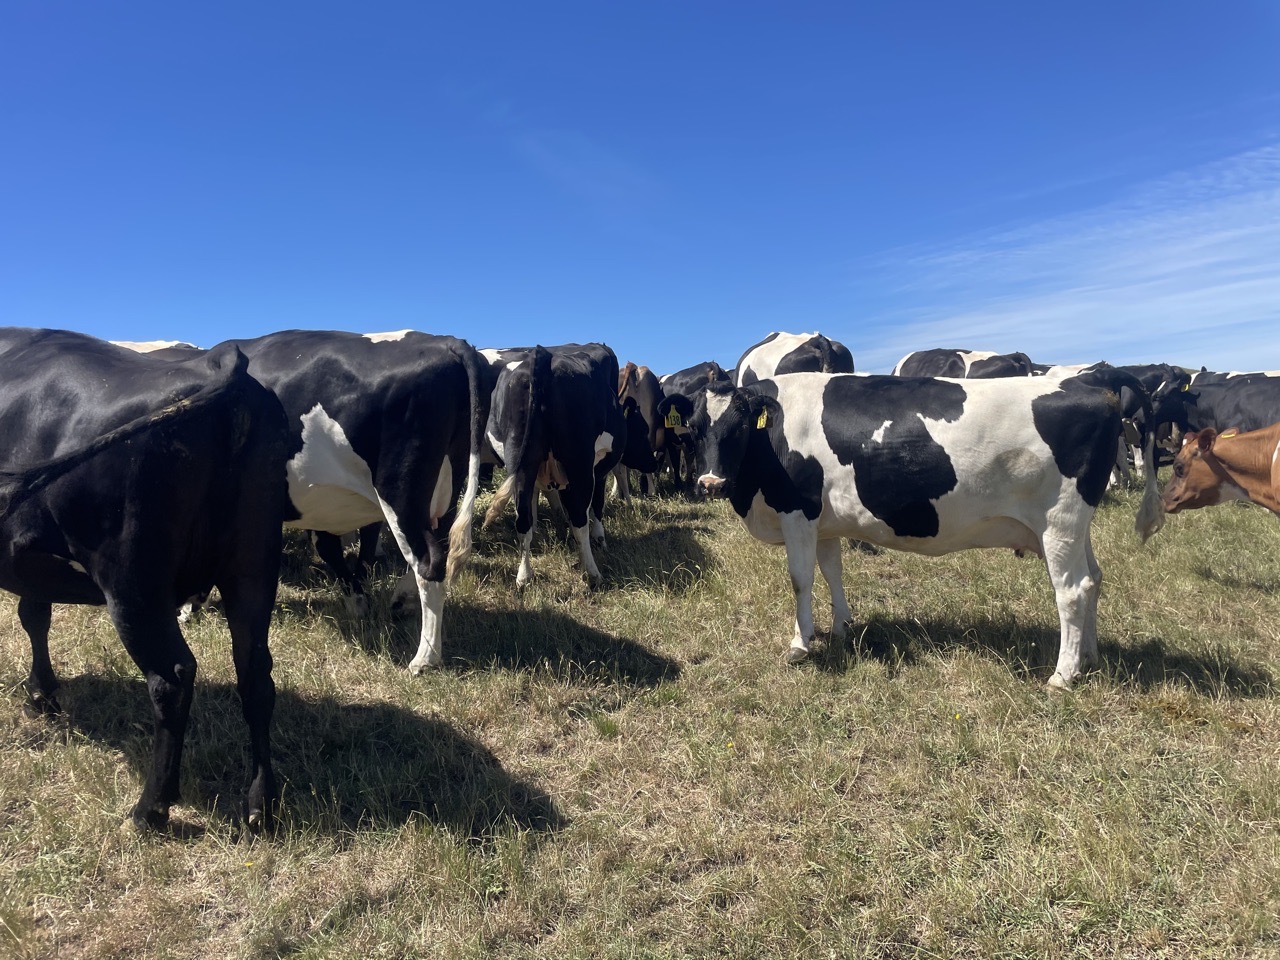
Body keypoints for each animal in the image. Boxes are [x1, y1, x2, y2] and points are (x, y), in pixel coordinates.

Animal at [0, 328, 291, 831]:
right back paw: (260, 803)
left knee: (171, 678)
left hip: (132, 581)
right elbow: (33, 613)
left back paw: (150, 808)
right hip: (253, 564)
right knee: (255, 675)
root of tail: (222, 361)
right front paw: (43, 691)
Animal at [228, 329, 487, 673]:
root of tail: (446, 341)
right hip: (446, 485)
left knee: (428, 562)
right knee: (440, 545)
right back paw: (402, 600)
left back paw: (425, 657)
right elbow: (331, 547)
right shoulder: (319, 507)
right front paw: (358, 602)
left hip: (400, 488)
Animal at [482, 343, 625, 589]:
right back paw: (593, 574)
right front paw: (599, 540)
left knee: (523, 520)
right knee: (579, 518)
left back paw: (524, 577)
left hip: (519, 460)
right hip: (579, 463)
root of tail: (541, 355)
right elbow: (595, 506)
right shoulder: (598, 470)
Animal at [684, 373, 1164, 689]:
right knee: (1094, 579)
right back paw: (1089, 657)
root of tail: (1092, 381)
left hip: (1059, 520)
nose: (710, 483)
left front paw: (800, 644)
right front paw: (840, 627)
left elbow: (800, 579)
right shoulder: (825, 521)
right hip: (1074, 526)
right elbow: (831, 570)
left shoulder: (797, 510)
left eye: (739, 427)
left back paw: (1062, 676)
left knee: (1072, 590)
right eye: (694, 427)